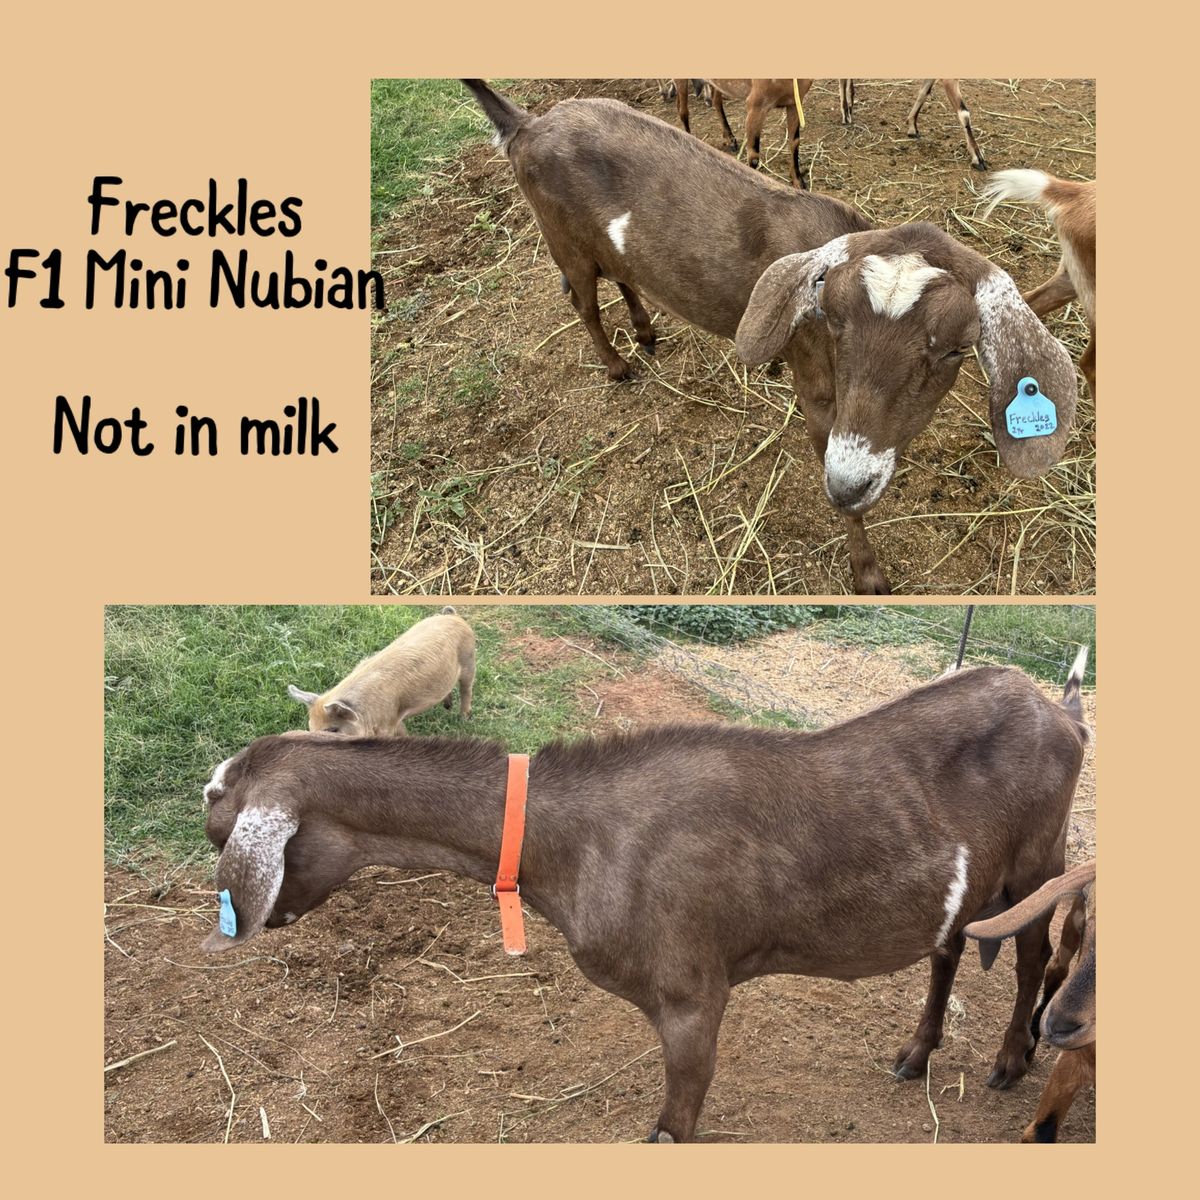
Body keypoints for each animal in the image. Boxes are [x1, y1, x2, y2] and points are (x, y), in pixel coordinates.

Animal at [286, 606, 475, 737]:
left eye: (332, 729)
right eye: (311, 727)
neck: (365, 714)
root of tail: (452, 615)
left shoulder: (389, 722)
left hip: (469, 659)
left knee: (467, 689)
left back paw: (463, 718)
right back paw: (447, 706)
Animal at [461, 79, 1078, 594]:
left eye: (955, 346)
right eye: (834, 317)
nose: (849, 482)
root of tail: (527, 124)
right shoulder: (822, 399)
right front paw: (868, 573)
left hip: (603, 242)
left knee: (622, 276)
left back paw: (645, 331)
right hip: (560, 236)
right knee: (584, 303)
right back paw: (618, 365)